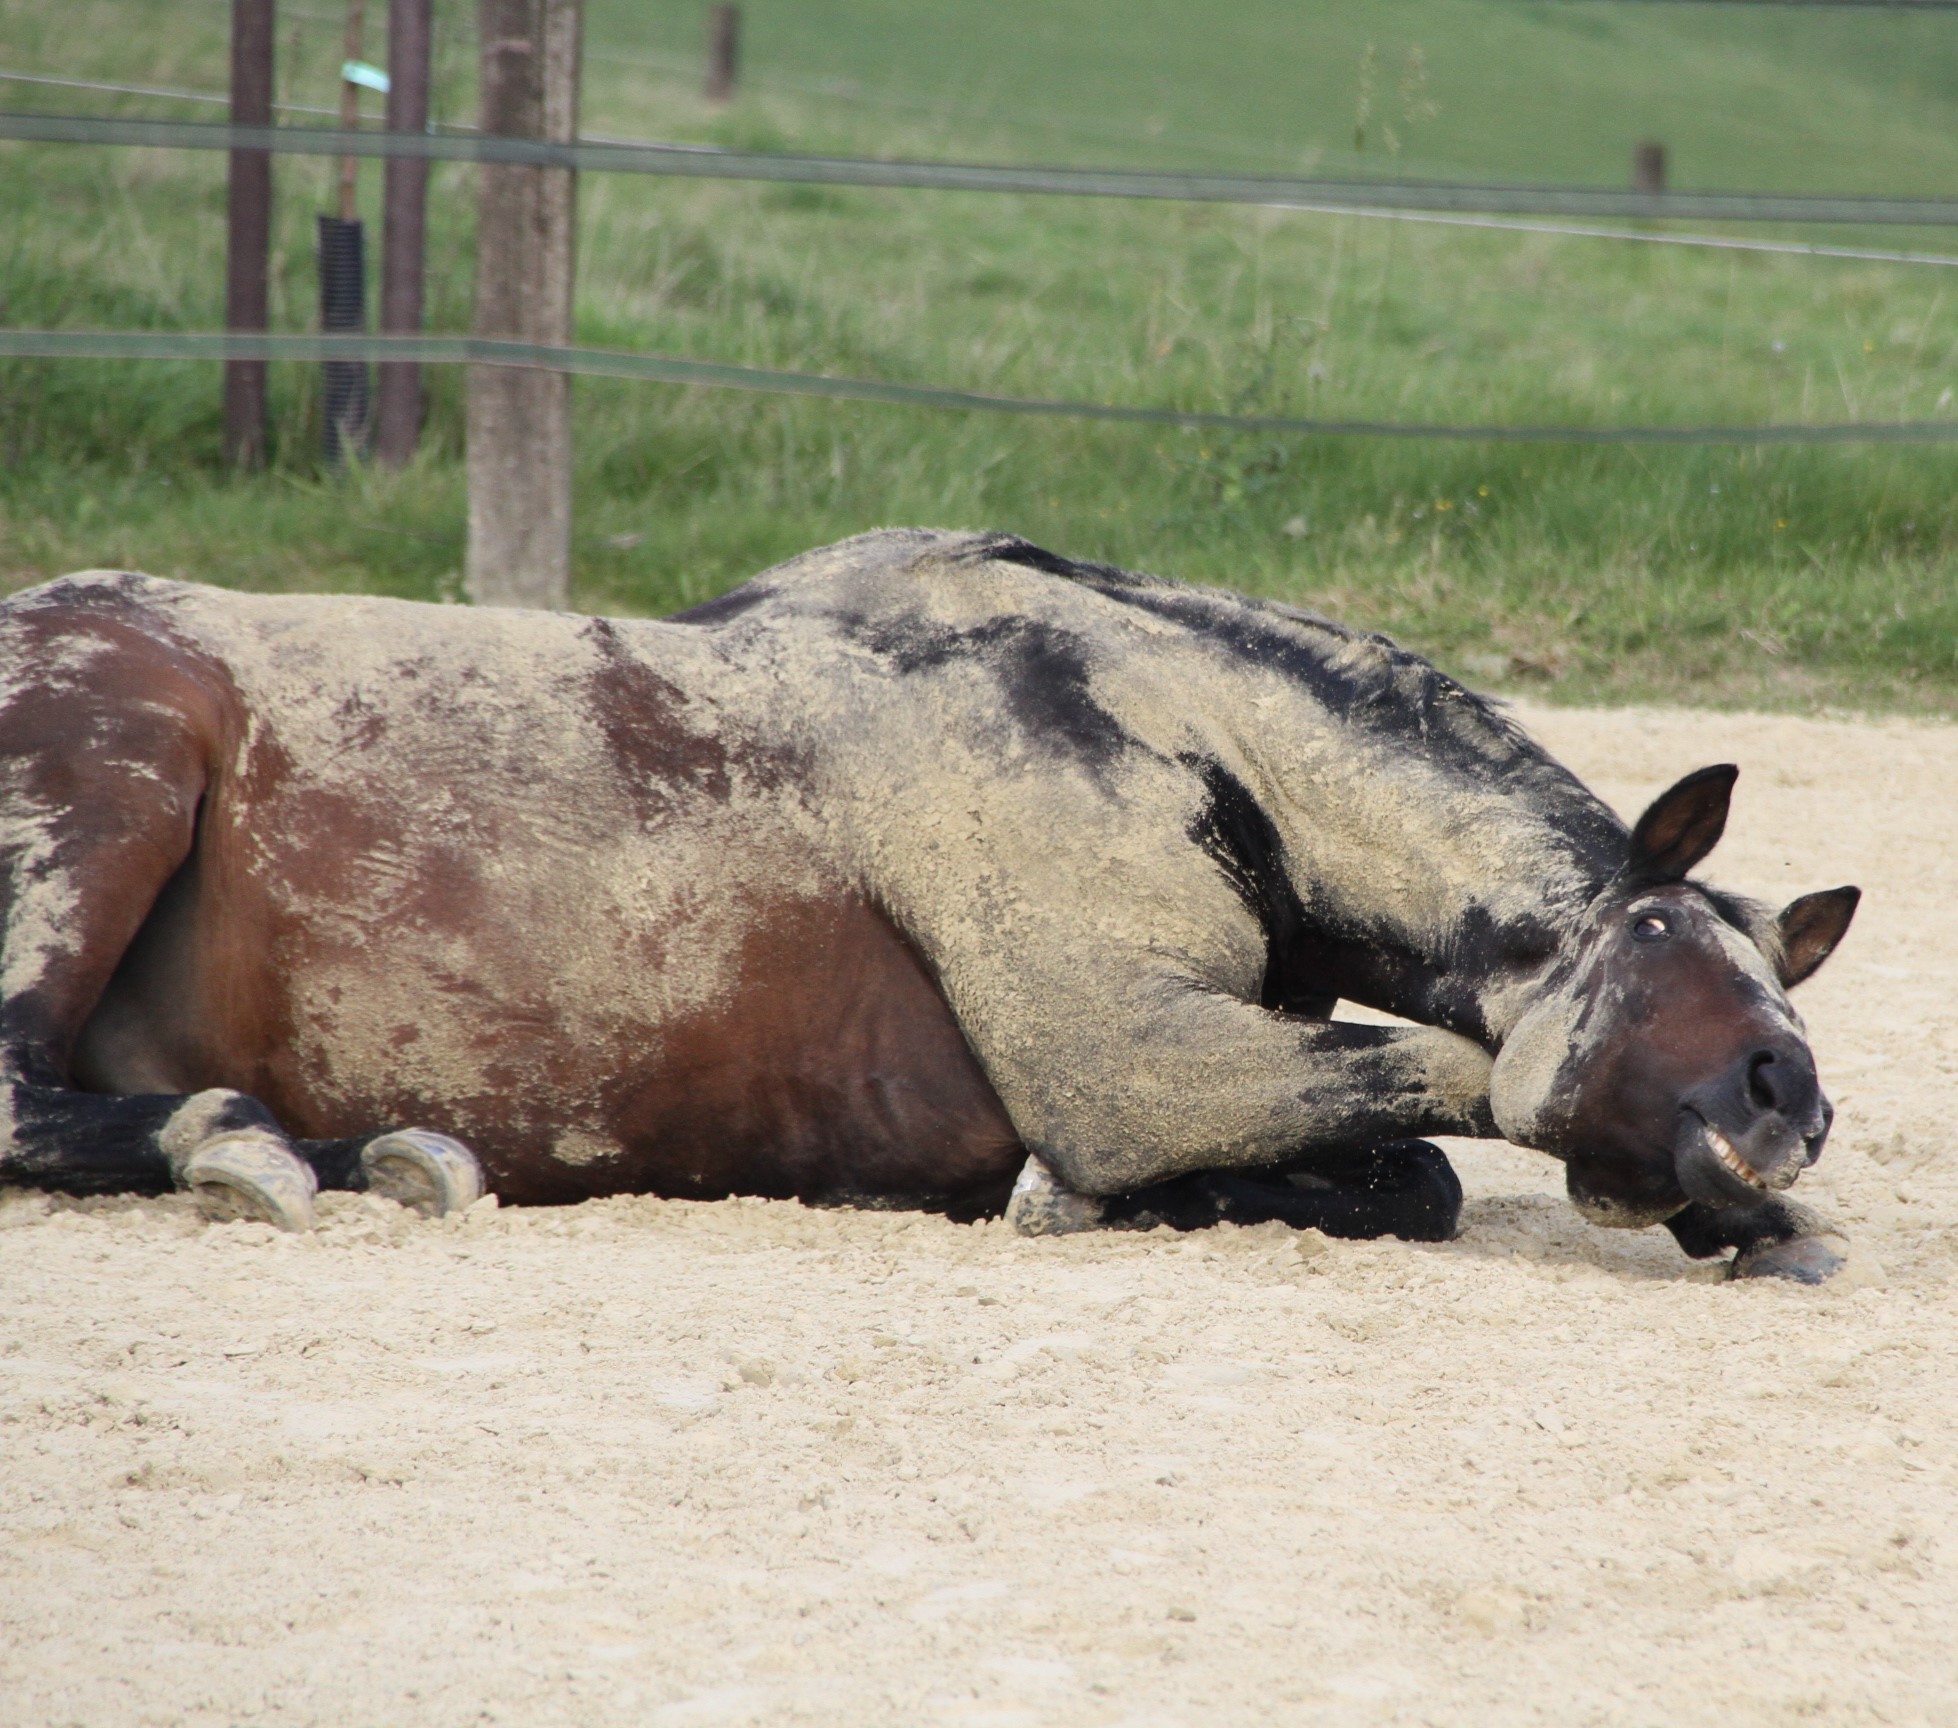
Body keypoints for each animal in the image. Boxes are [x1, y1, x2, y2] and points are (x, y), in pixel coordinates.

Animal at [0, 532, 1856, 1275]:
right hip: (110, 783)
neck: (1185, 734)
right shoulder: (1127, 1062)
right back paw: (266, 1146)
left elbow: (1403, 1157)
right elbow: (1447, 1112)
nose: (1790, 1101)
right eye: (1657, 936)